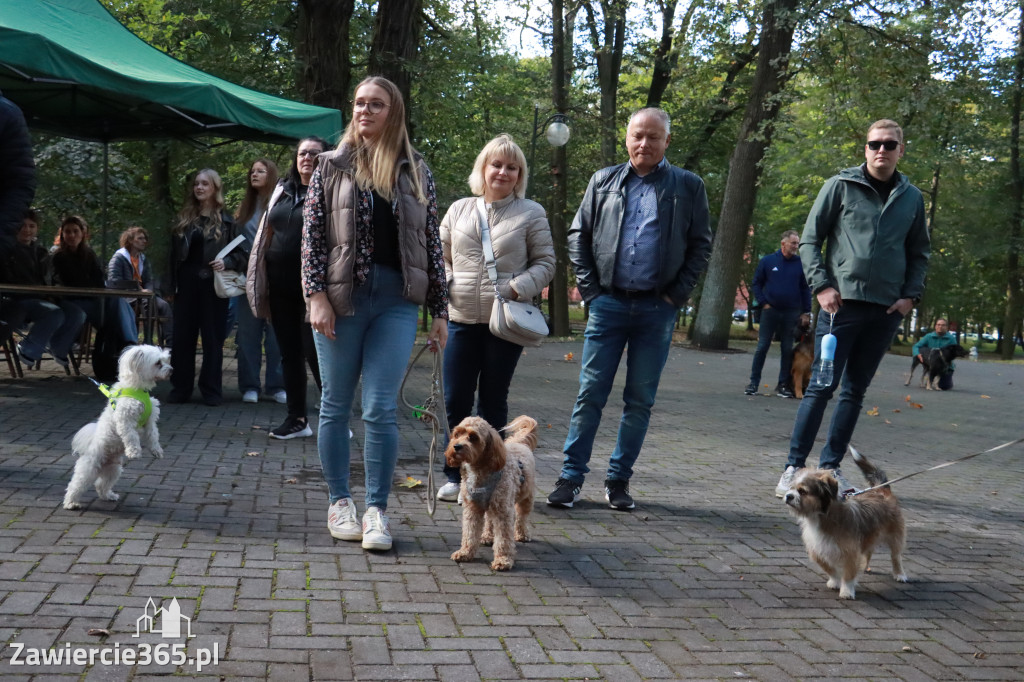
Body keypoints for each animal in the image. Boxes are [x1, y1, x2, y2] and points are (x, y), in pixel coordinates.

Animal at [63, 346, 171, 509]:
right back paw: (71, 503)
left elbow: (153, 435)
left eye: (166, 360)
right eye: (158, 363)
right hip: (88, 469)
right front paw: (134, 452)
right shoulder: (125, 420)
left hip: (113, 470)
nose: (171, 370)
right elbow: (131, 436)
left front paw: (157, 451)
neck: (137, 389)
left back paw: (108, 496)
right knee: (75, 485)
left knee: (101, 485)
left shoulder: (150, 421)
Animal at [450, 413, 544, 569]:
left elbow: (504, 539)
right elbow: (469, 533)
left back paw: (522, 534)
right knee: (489, 519)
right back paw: (487, 536)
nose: (456, 446)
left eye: (473, 437)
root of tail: (520, 443)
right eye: (457, 434)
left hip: (526, 498)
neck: (481, 471)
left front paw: (503, 560)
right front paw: (465, 552)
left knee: (522, 517)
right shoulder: (472, 508)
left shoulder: (503, 511)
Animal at [786, 448, 909, 598]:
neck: (822, 516)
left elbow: (848, 574)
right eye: (791, 488)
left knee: (896, 556)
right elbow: (829, 568)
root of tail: (881, 490)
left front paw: (846, 590)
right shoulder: (818, 549)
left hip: (895, 536)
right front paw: (835, 581)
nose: (788, 496)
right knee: (868, 551)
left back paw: (899, 574)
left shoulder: (850, 551)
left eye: (802, 491)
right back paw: (865, 566)